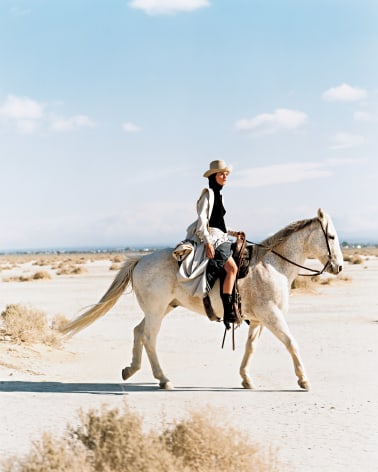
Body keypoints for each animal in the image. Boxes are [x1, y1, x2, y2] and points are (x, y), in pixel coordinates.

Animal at [61, 209, 342, 390]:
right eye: (331, 237)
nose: (338, 266)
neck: (272, 265)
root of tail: (140, 259)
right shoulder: (272, 316)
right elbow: (291, 343)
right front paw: (303, 380)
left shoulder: (259, 320)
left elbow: (250, 348)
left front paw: (246, 378)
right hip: (156, 311)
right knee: (149, 337)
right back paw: (164, 379)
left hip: (163, 308)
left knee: (138, 331)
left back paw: (131, 370)